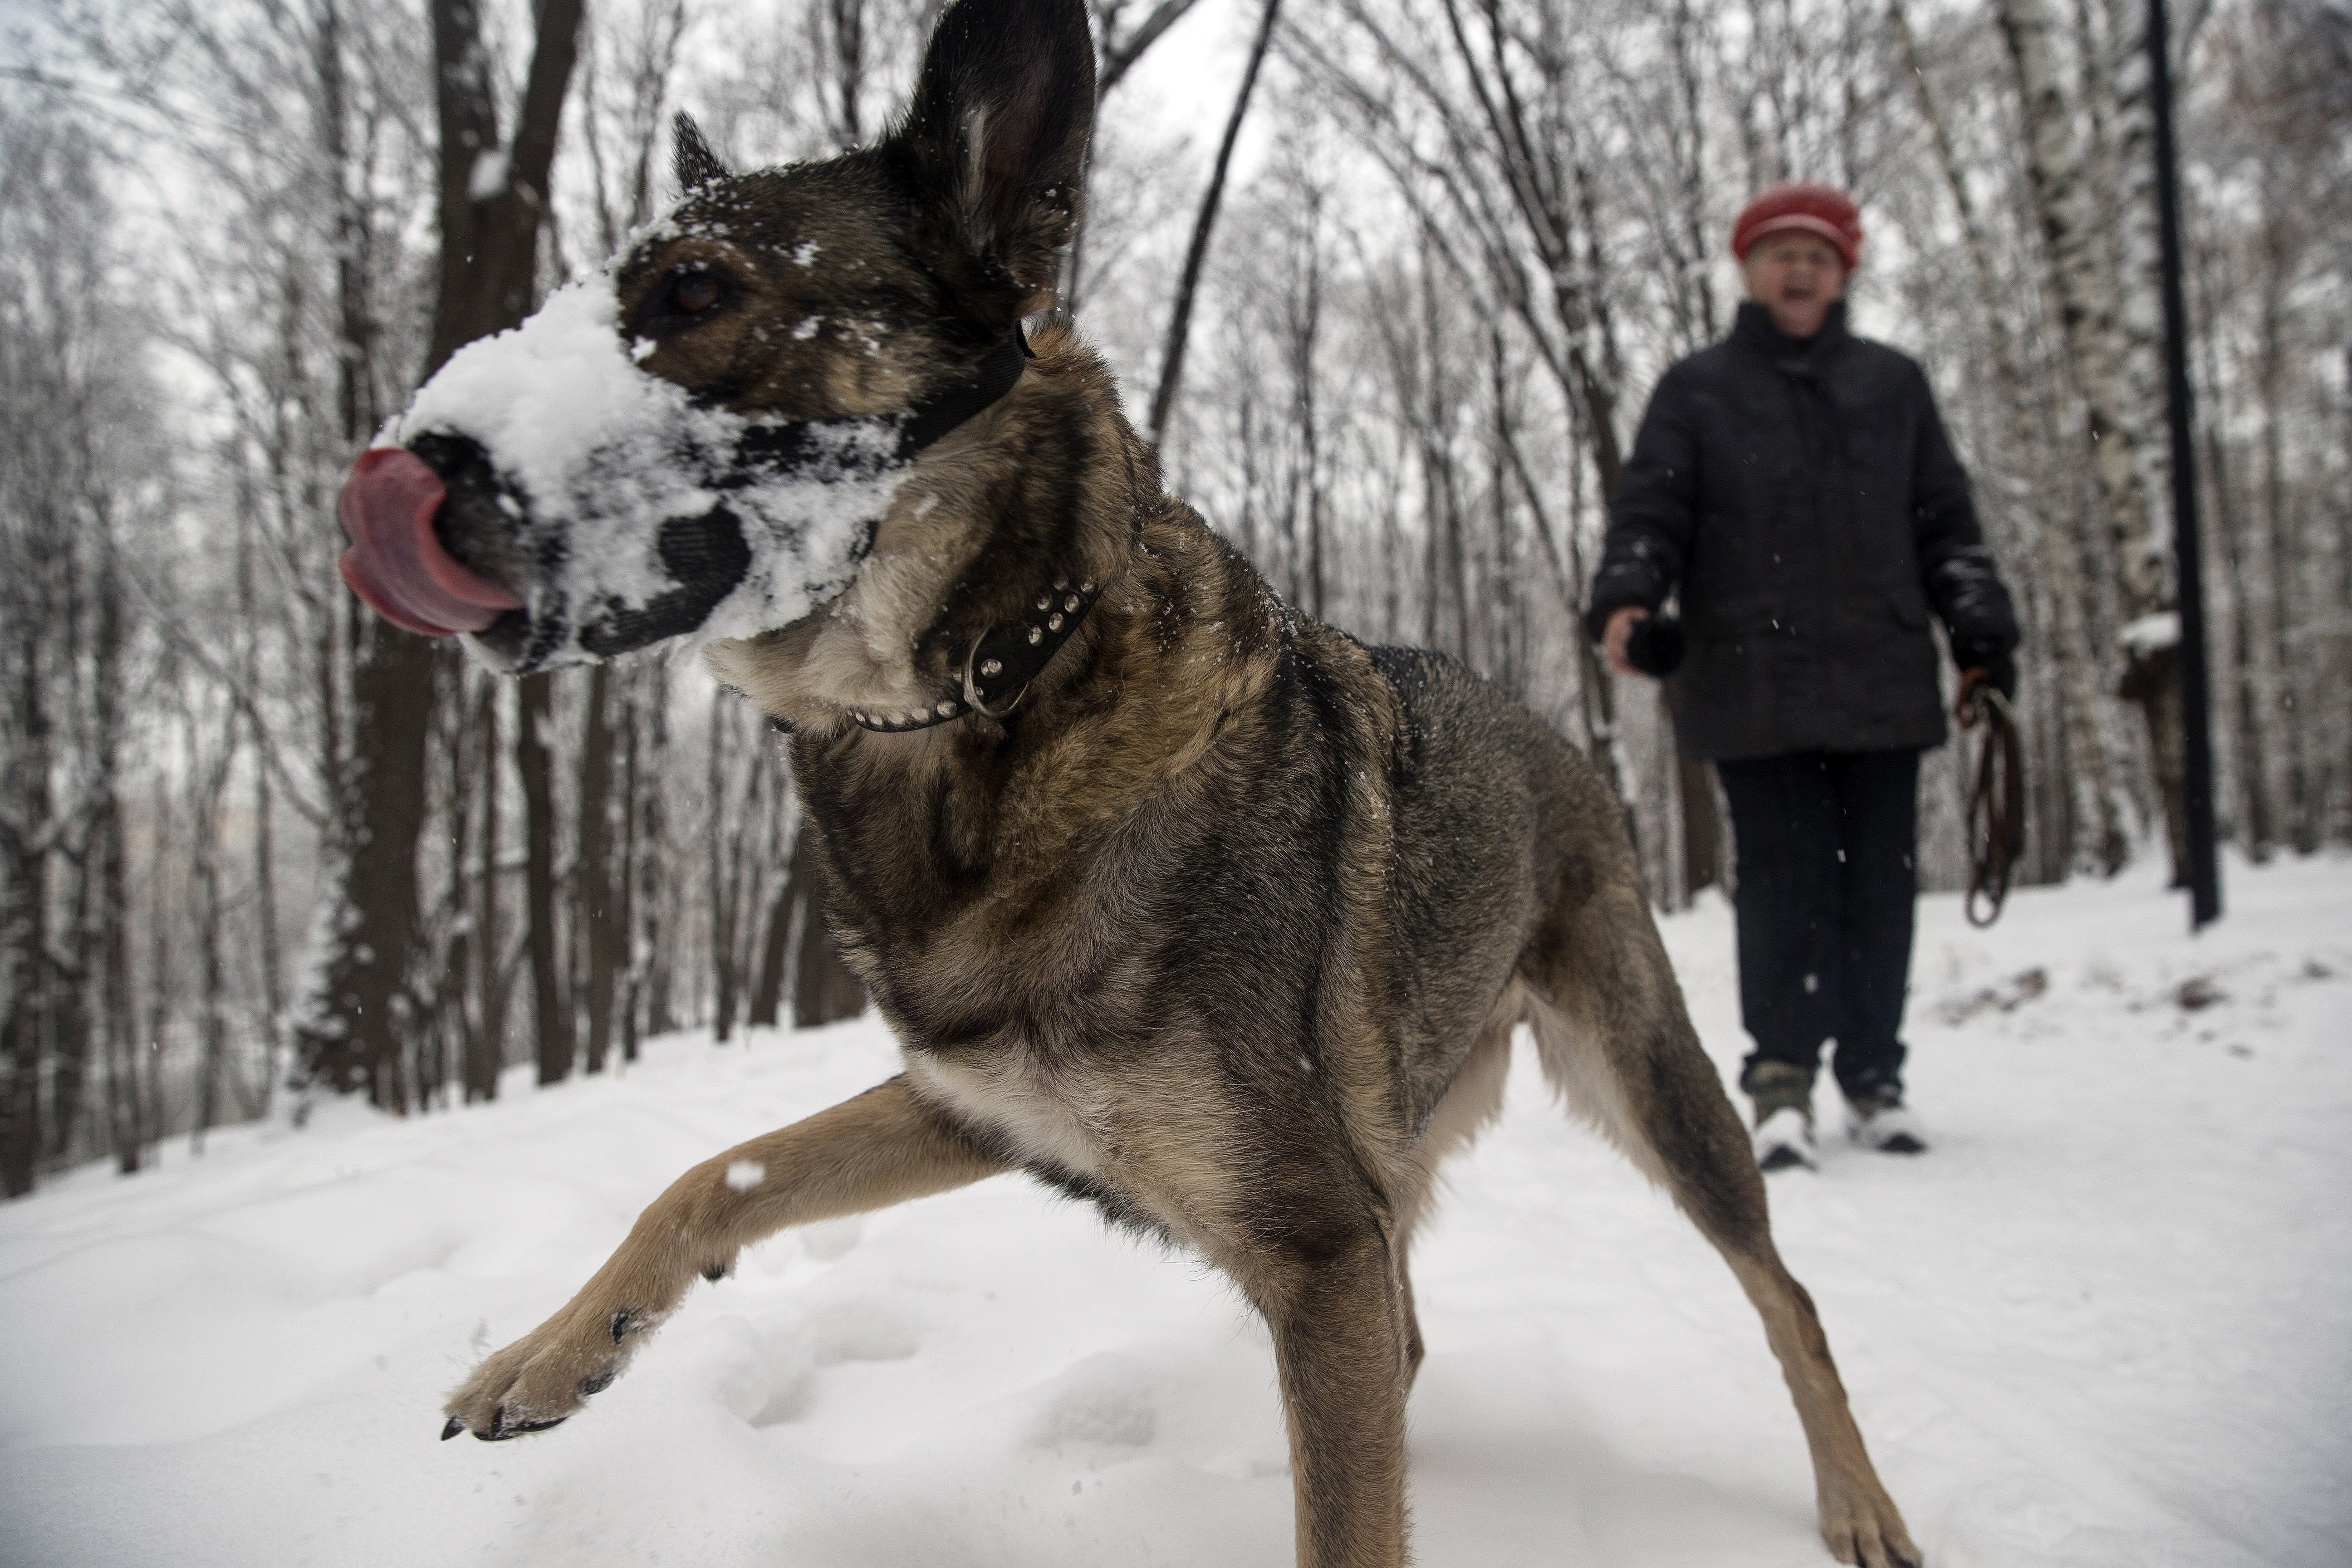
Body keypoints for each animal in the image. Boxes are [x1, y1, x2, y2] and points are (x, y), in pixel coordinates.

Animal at [341, 6, 1919, 1561]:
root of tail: (1548, 721)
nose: (401, 467)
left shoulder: (1318, 1245)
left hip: (1649, 1085)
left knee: (1786, 1296)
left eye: (691, 288)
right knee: (1421, 1344)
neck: (995, 692)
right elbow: (717, 1172)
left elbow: (1348, 1518)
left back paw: (1861, 1502)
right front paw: (547, 1355)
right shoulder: (981, 1108)